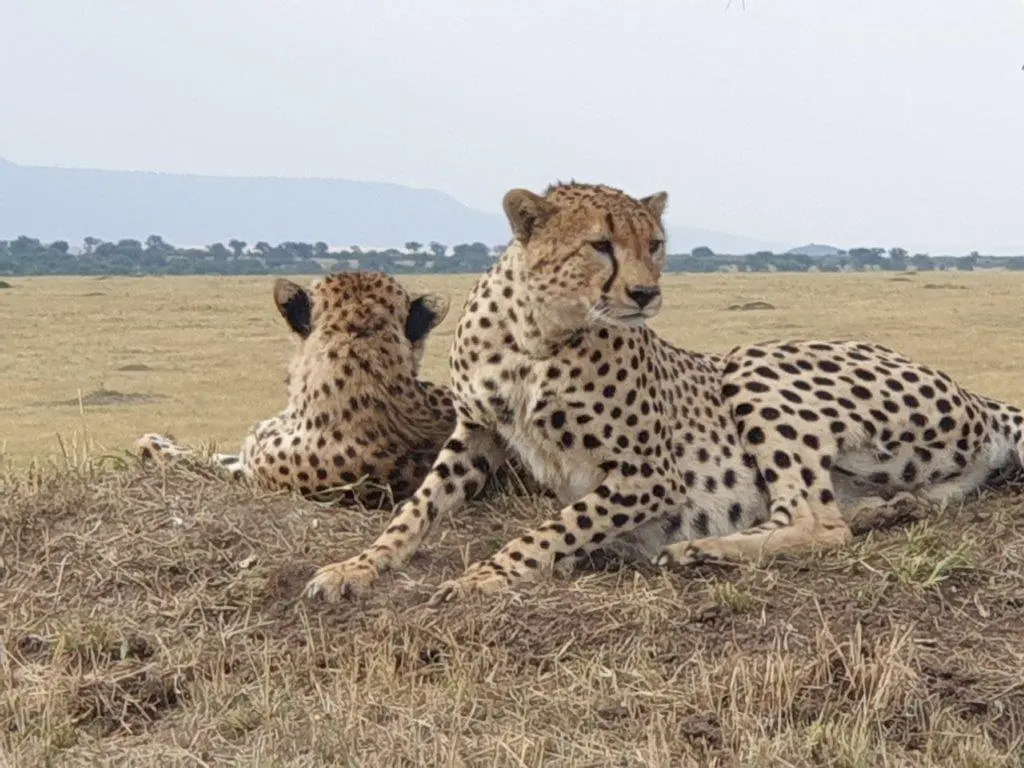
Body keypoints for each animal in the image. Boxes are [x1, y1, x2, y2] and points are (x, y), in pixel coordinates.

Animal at [303, 182, 1024, 606]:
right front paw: (354, 568)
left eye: (654, 243)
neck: (538, 332)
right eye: (599, 244)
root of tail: (977, 397)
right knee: (845, 514)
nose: (647, 293)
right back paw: (875, 513)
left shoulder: (650, 477)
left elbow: (554, 526)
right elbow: (414, 511)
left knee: (819, 524)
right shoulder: (474, 432)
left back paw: (698, 550)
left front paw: (486, 575)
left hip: (752, 361)